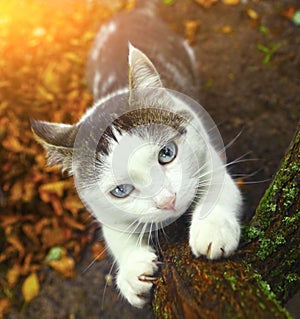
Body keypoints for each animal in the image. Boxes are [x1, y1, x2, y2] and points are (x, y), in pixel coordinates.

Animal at [31, 0, 241, 310]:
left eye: (167, 153)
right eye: (121, 190)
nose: (167, 201)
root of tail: (128, 14)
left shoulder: (208, 153)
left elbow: (219, 187)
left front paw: (212, 229)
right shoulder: (102, 209)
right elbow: (115, 235)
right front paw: (132, 271)